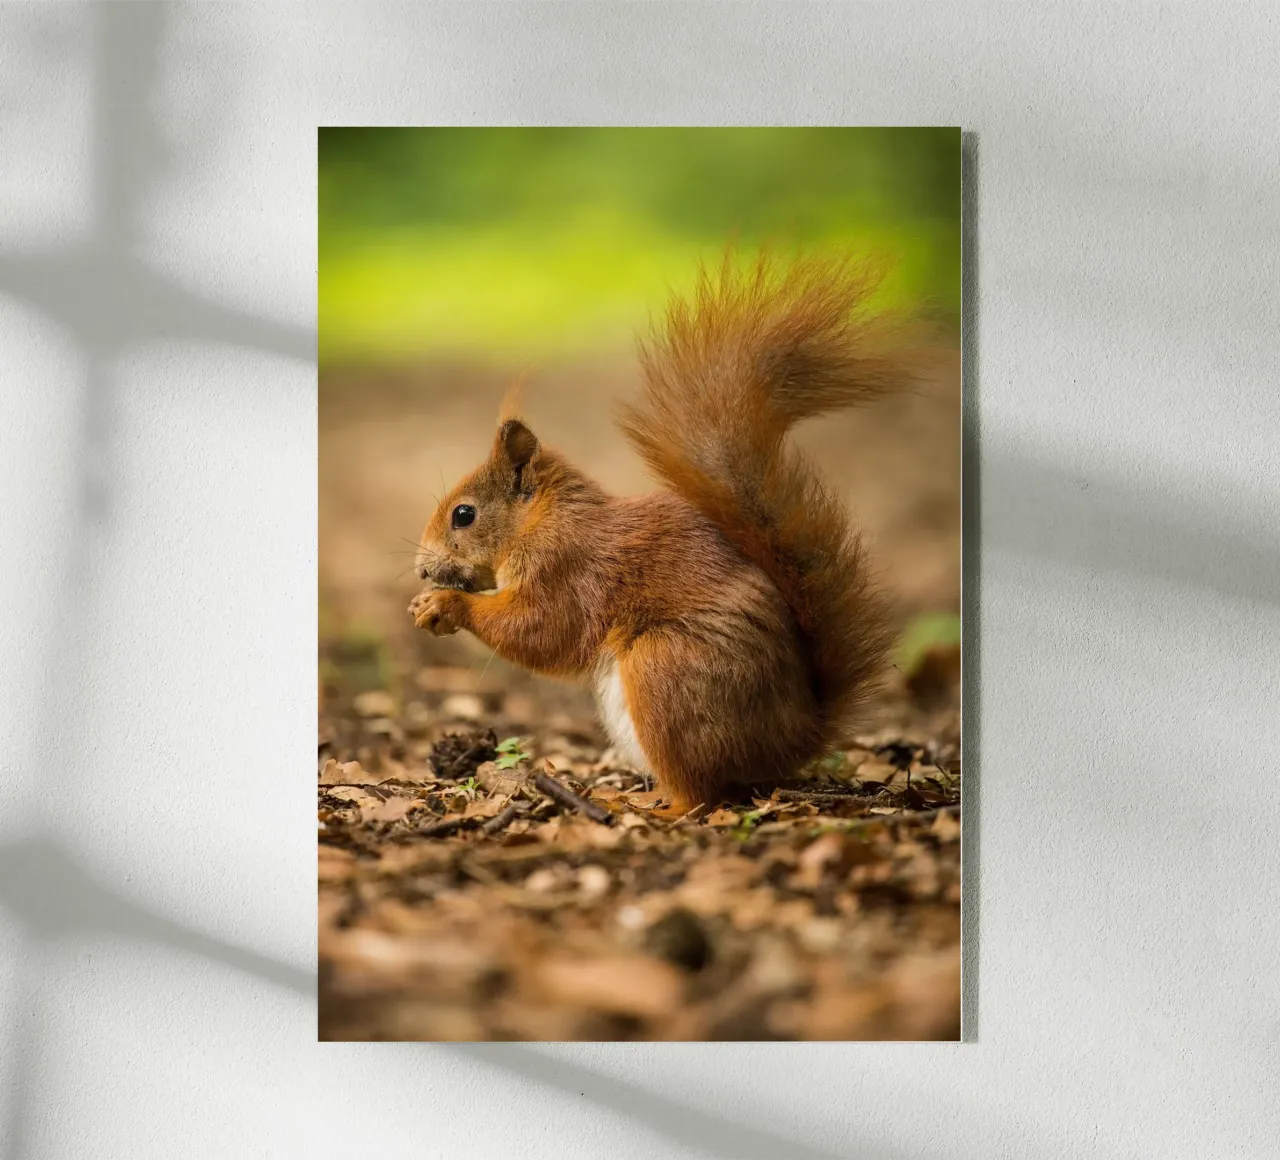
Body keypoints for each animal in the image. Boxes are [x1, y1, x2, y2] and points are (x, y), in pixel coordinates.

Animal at [409, 252, 925, 817]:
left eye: (463, 515)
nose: (421, 569)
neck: (542, 520)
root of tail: (792, 739)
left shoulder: (568, 567)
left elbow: (541, 630)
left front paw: (445, 605)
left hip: (666, 670)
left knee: (700, 795)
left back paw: (641, 805)